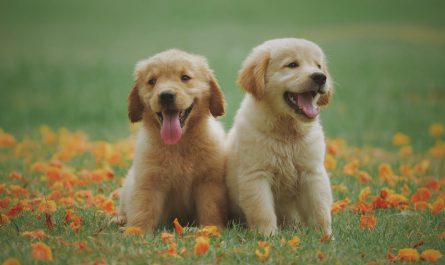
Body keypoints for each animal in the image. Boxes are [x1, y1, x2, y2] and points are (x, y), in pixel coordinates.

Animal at [117, 49, 227, 231]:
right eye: (152, 81)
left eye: (185, 77)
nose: (166, 95)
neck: (178, 145)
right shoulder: (148, 180)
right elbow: (143, 208)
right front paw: (136, 231)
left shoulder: (209, 182)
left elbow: (210, 208)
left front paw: (211, 229)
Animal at [225, 37, 332, 235]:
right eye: (292, 65)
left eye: (319, 66)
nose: (321, 77)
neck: (286, 131)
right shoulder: (256, 174)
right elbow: (262, 210)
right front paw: (268, 235)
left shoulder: (312, 172)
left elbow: (319, 207)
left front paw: (325, 236)